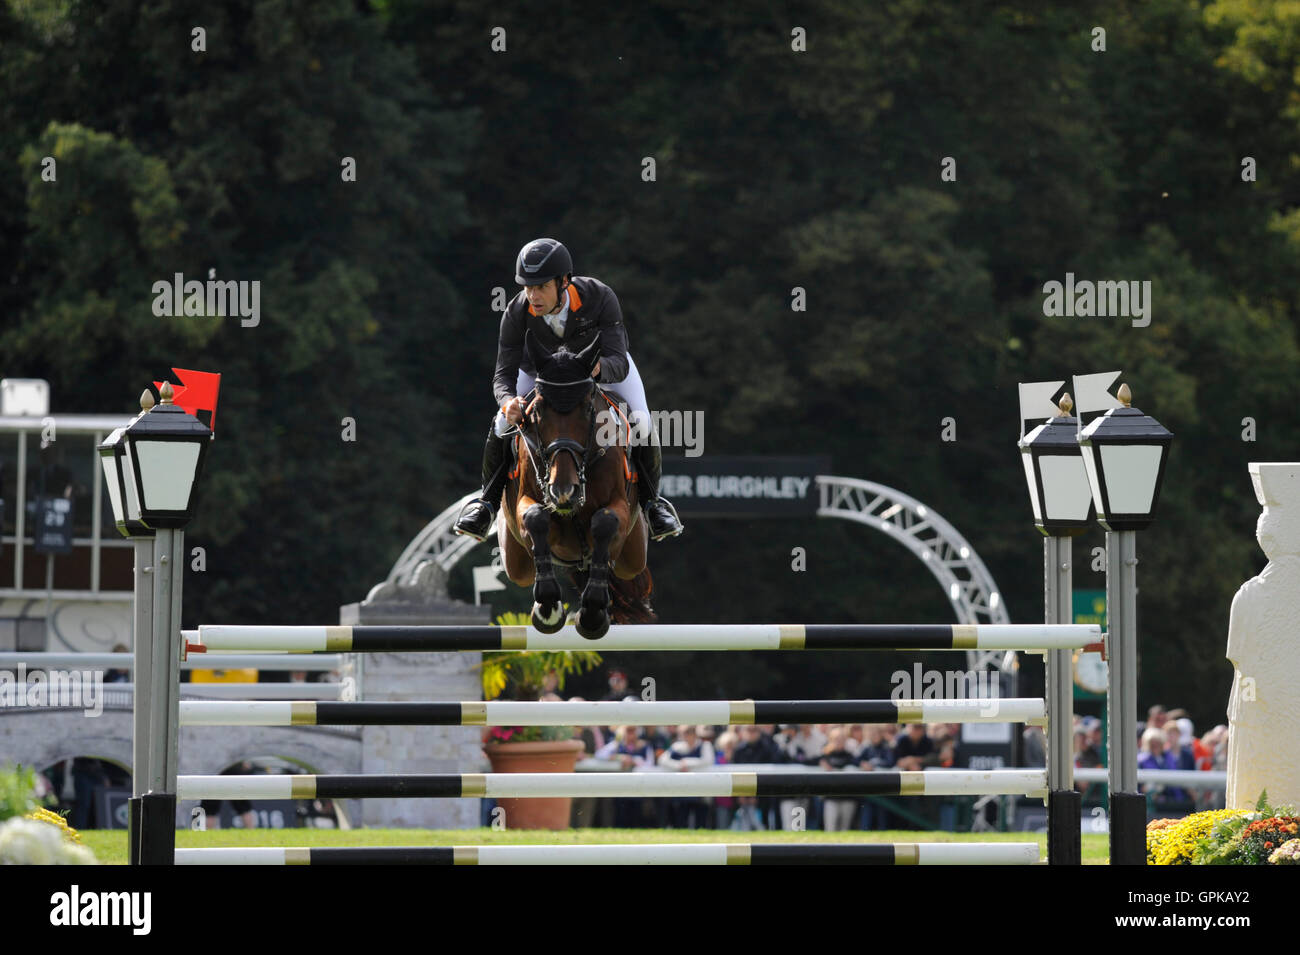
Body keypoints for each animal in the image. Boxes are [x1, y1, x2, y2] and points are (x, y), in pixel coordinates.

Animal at [499, 332, 660, 639]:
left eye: (588, 408)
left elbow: (604, 523)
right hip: (515, 559)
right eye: (538, 410)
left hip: (633, 554)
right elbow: (535, 517)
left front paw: (593, 613)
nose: (564, 491)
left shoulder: (619, 508)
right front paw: (548, 607)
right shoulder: (526, 501)